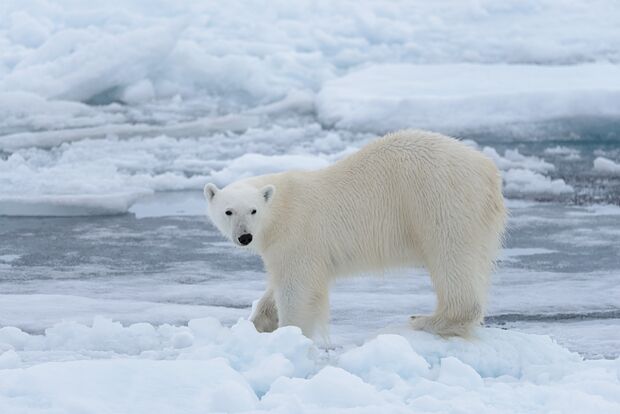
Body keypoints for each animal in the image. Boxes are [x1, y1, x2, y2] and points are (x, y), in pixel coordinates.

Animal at [206, 129, 506, 336]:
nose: (245, 237)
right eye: (228, 211)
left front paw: (289, 333)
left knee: (450, 255)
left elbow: (297, 287)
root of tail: (488, 170)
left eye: (253, 210)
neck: (281, 207)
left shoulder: (298, 233)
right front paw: (261, 322)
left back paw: (426, 320)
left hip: (440, 198)